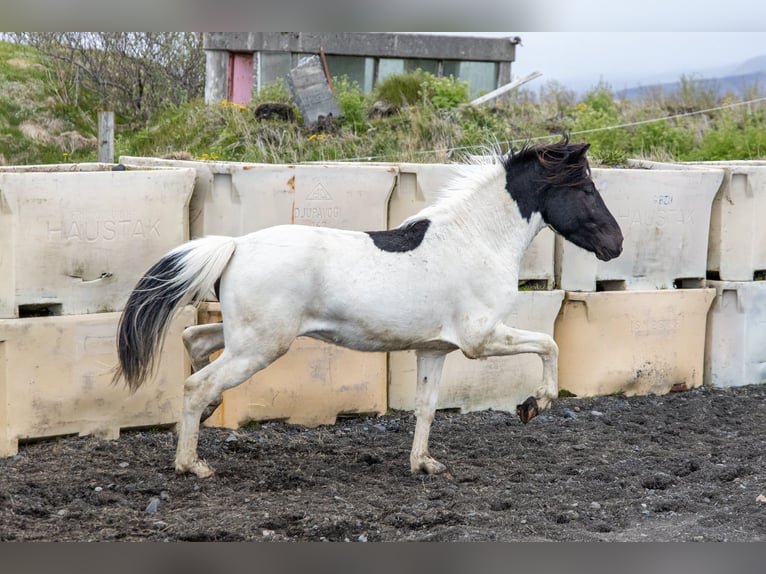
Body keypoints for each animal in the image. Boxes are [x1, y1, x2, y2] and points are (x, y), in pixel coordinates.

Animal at [117, 141, 628, 482]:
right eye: (586, 188)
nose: (616, 244)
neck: (474, 239)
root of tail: (235, 246)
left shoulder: (434, 349)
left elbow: (426, 406)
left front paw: (424, 464)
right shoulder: (480, 339)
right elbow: (549, 344)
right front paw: (532, 405)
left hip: (248, 338)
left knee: (194, 341)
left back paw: (206, 422)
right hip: (260, 347)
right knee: (196, 384)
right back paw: (193, 465)